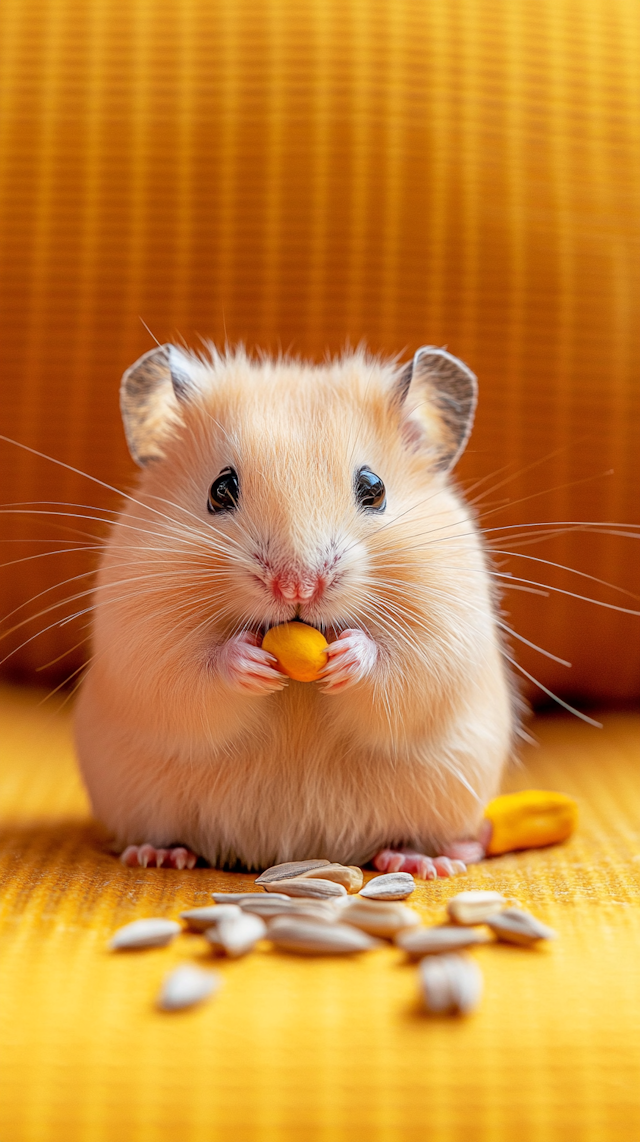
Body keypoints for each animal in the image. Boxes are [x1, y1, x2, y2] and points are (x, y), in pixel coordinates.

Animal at [74, 342, 514, 877]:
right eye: (220, 489)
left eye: (374, 488)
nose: (297, 586)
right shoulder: (141, 633)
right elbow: (192, 676)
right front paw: (250, 662)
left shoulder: (445, 629)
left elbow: (400, 671)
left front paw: (348, 656)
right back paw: (159, 855)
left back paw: (423, 862)